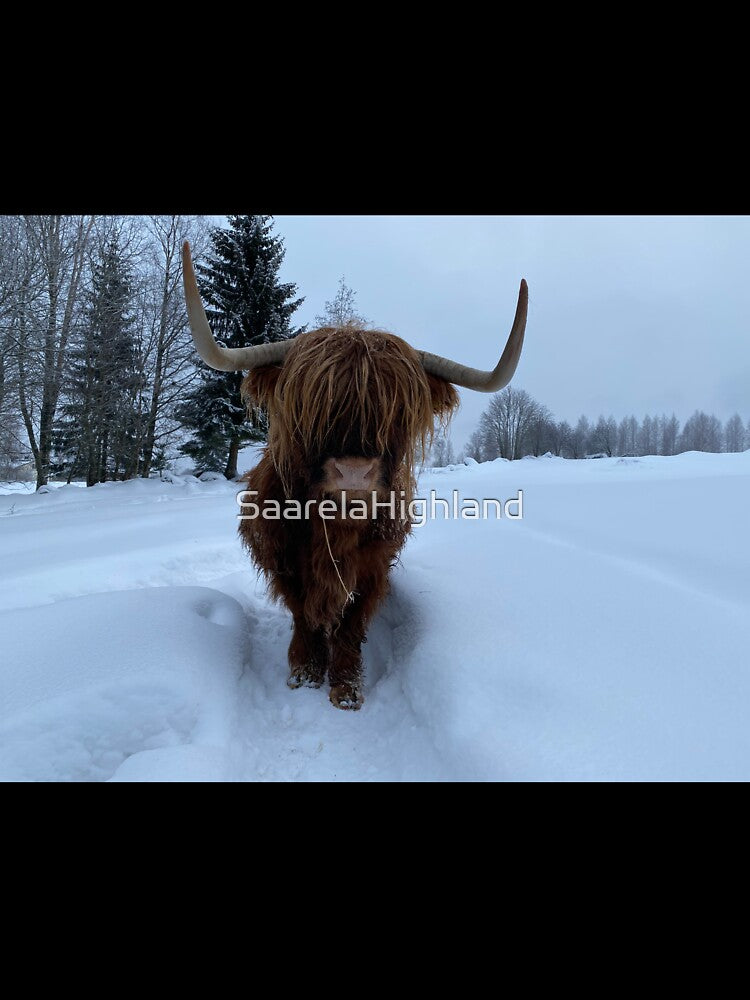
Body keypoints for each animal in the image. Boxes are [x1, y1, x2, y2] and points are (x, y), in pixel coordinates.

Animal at [182, 241, 527, 710]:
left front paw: (346, 687)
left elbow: (351, 622)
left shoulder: (373, 566)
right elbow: (303, 614)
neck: (336, 528)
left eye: (397, 412)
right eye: (311, 404)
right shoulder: (283, 560)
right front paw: (305, 673)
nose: (354, 472)